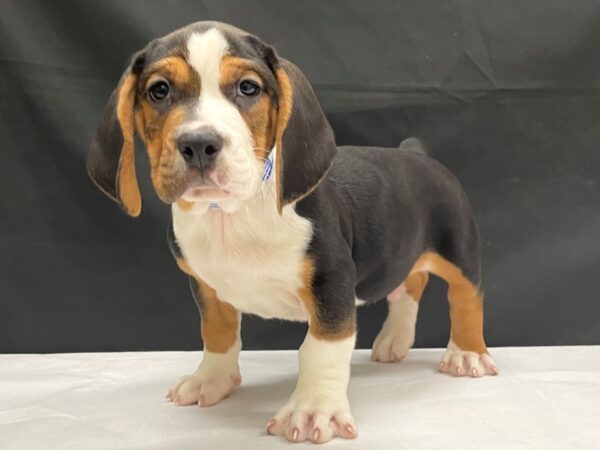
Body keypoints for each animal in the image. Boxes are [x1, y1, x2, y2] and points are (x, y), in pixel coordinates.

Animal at [85, 21, 496, 442]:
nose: (199, 144)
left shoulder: (332, 282)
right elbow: (217, 333)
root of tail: (418, 154)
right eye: (159, 90)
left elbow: (320, 350)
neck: (231, 214)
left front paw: (313, 410)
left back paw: (466, 353)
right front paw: (211, 380)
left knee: (466, 297)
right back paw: (395, 340)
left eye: (248, 88)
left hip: (458, 249)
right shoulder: (205, 286)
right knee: (410, 284)